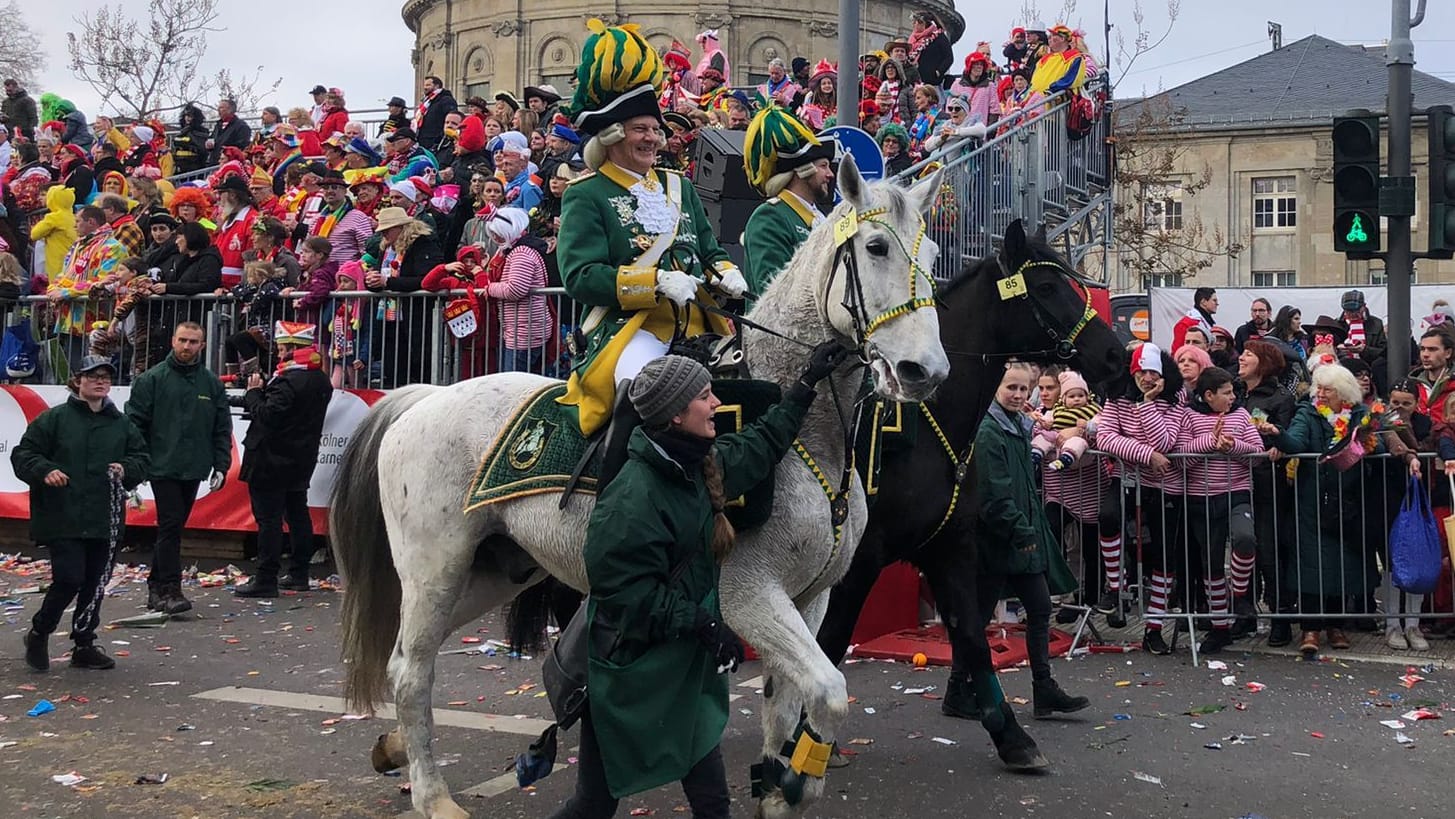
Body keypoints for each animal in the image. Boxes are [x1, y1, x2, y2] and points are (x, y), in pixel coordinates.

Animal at [337, 155, 954, 819]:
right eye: (876, 247)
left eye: (934, 252)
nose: (925, 372)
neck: (802, 432)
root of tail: (426, 396)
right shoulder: (750, 594)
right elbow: (830, 689)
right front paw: (794, 780)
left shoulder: (810, 598)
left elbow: (788, 701)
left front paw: (780, 784)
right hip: (435, 569)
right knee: (412, 671)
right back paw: (433, 796)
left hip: (491, 572)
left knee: (408, 657)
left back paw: (396, 748)